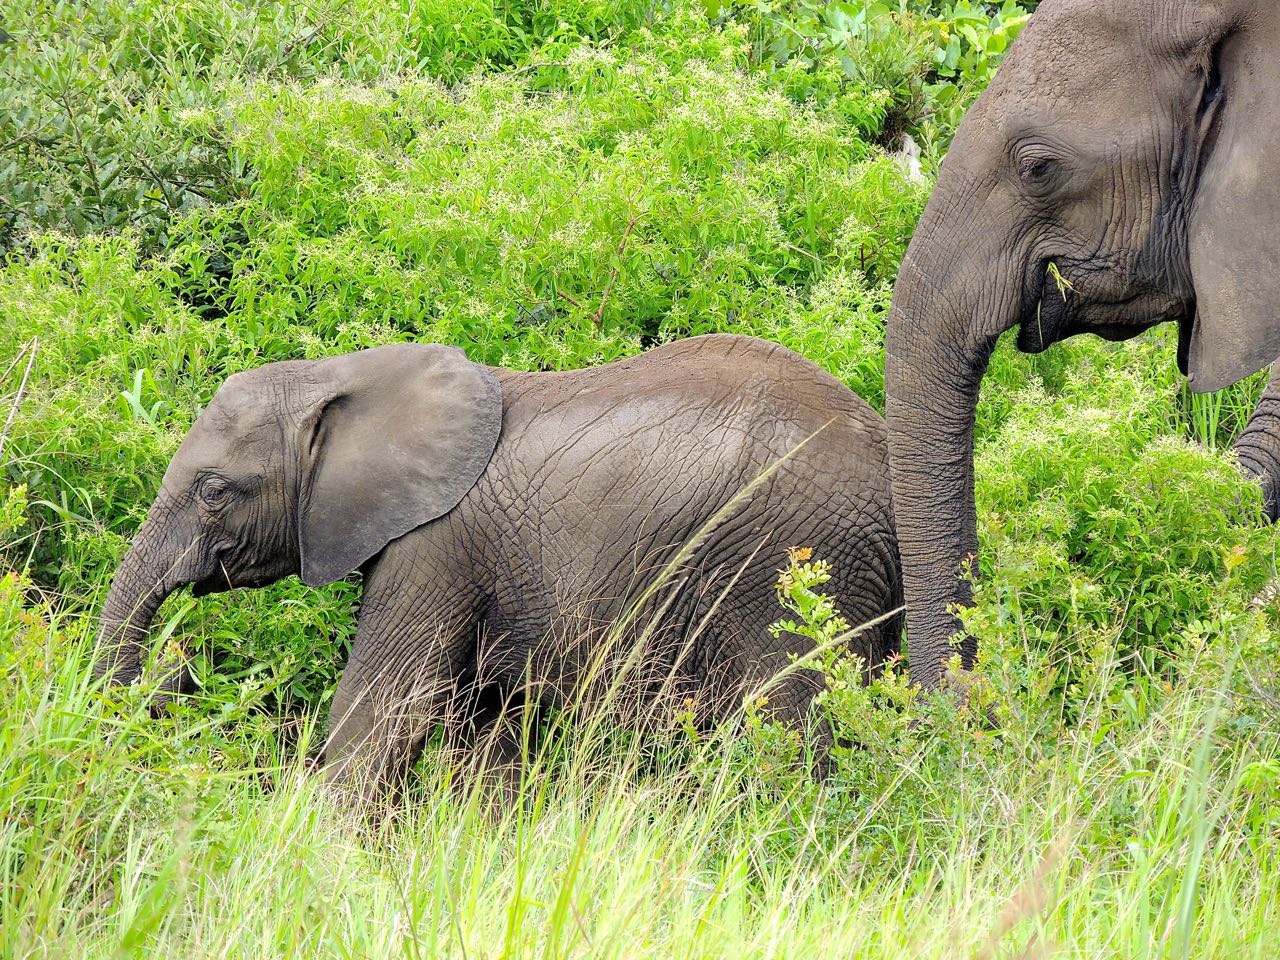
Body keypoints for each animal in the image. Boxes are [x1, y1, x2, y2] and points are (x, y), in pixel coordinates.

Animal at [97, 337, 901, 803]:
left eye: (213, 492)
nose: (178, 666)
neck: (340, 376)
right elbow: (481, 731)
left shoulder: (433, 546)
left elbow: (387, 711)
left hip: (790, 563)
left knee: (785, 732)